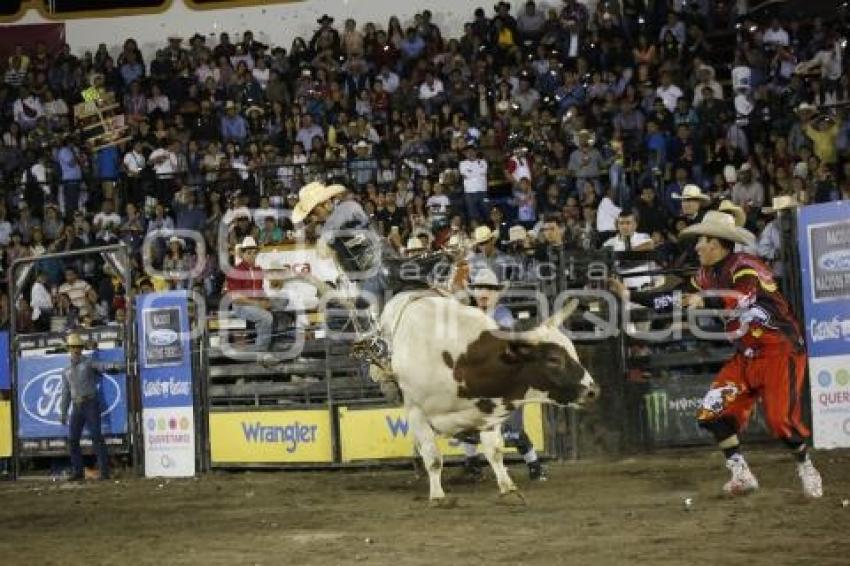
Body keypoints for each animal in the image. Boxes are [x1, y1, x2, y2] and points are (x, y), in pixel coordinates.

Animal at [380, 292, 596, 502]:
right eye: (553, 359)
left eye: (573, 350)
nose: (593, 390)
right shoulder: (416, 411)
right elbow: (433, 457)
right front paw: (437, 495)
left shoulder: (487, 413)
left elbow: (495, 452)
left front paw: (508, 488)